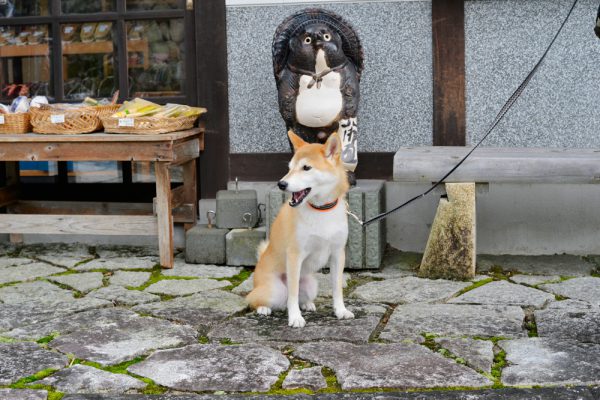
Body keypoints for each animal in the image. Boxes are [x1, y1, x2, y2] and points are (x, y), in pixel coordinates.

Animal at [246, 130, 354, 326]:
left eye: (306, 168)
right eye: (290, 168)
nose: (281, 184)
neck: (321, 209)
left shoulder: (337, 253)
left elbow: (337, 288)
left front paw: (340, 310)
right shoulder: (295, 255)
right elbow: (293, 293)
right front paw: (295, 317)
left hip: (312, 284)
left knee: (303, 295)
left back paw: (308, 304)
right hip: (273, 290)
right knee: (255, 299)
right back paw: (263, 308)